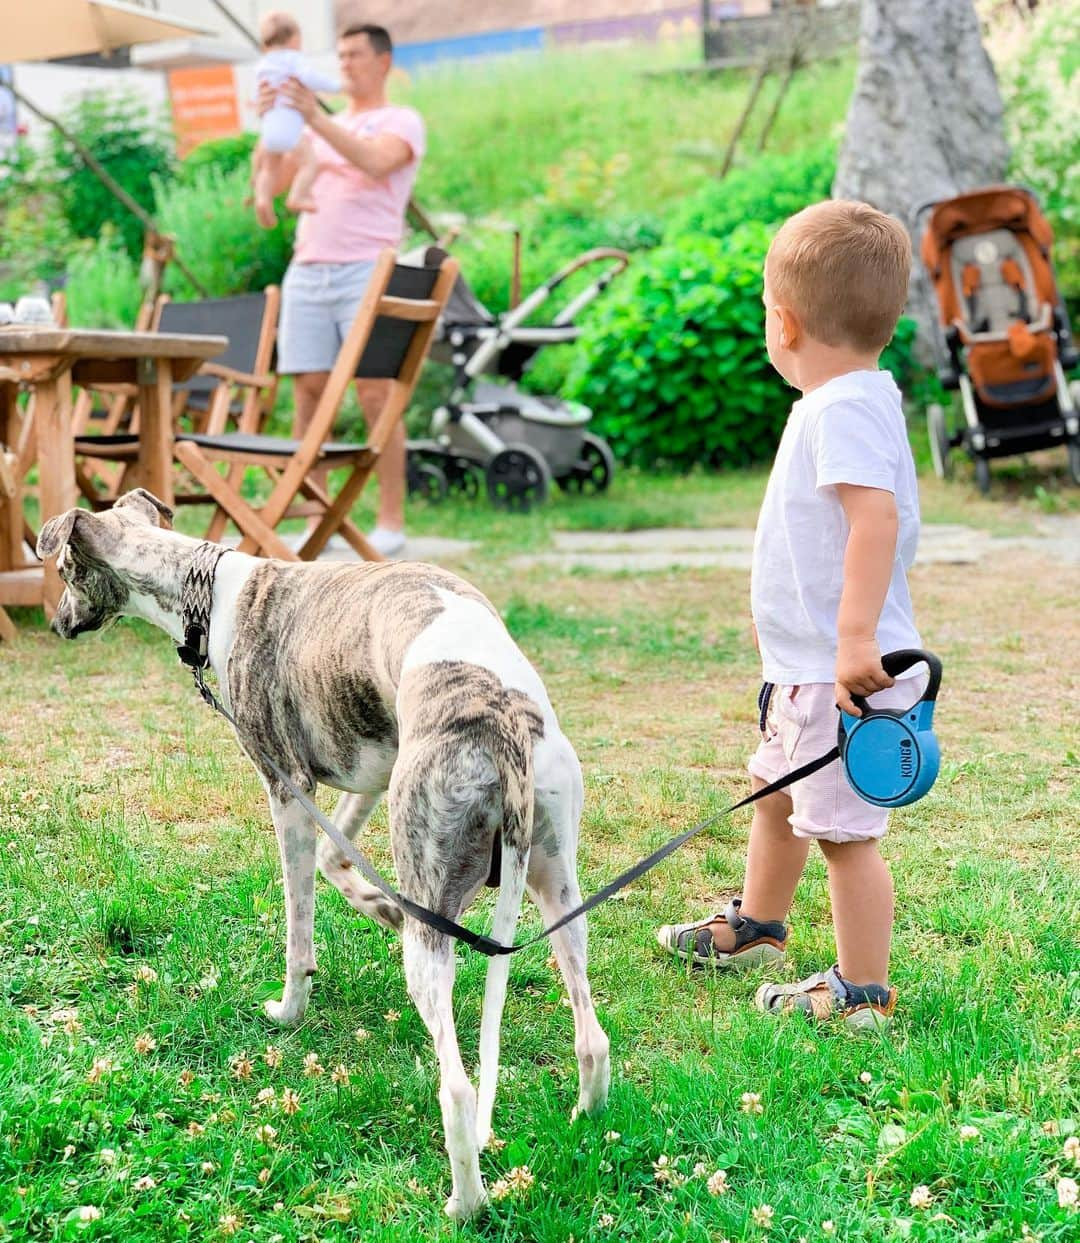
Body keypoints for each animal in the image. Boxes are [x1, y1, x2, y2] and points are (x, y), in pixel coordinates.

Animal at [37, 489, 606, 1218]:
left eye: (63, 571)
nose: (55, 623)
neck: (209, 589)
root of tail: (501, 722)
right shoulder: (371, 771)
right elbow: (341, 864)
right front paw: (379, 907)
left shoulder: (286, 786)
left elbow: (297, 924)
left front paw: (289, 1008)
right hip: (554, 883)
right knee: (592, 1035)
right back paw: (586, 1119)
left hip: (437, 911)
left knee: (458, 1086)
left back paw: (465, 1202)